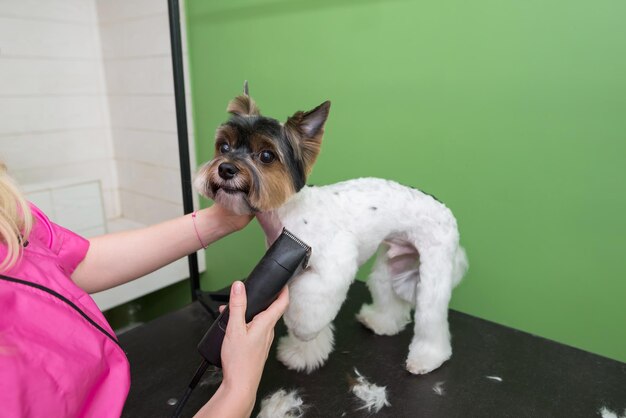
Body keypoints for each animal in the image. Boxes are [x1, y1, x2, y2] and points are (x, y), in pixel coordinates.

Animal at [195, 83, 468, 374]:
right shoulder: (291, 268)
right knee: (388, 294)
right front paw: (302, 353)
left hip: (434, 270)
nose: (225, 168)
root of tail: (445, 210)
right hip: (393, 263)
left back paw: (427, 358)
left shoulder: (331, 269)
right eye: (224, 146)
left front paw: (303, 333)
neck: (290, 211)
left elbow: (309, 310)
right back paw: (381, 323)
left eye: (266, 155)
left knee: (431, 316)